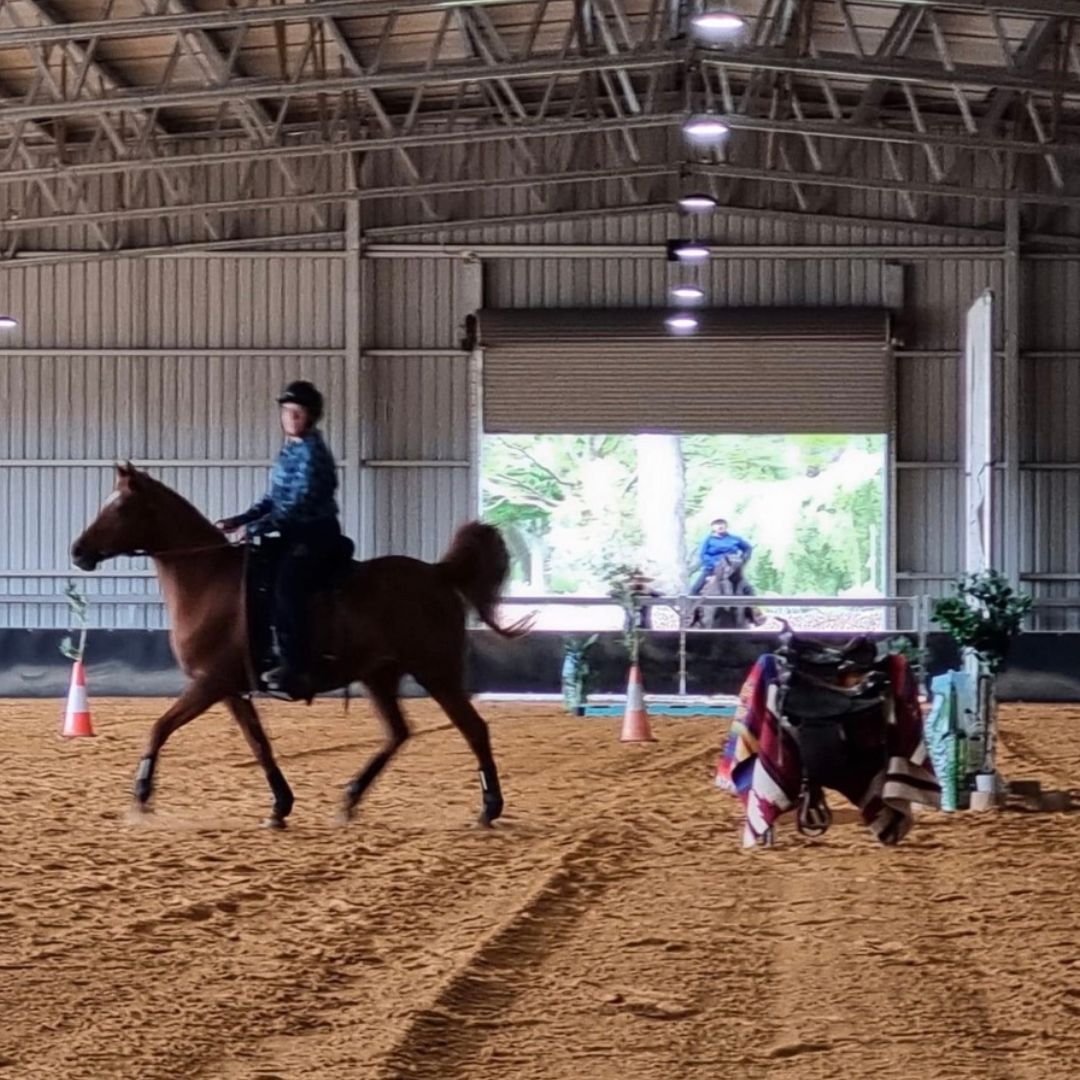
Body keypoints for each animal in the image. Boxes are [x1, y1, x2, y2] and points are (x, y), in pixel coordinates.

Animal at [70, 462, 527, 825]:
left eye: (120, 507)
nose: (78, 551)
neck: (208, 580)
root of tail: (439, 572)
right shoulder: (230, 689)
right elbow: (258, 743)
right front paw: (280, 805)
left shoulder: (209, 683)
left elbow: (160, 727)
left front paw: (141, 795)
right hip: (379, 676)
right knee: (398, 732)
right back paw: (350, 798)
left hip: (437, 671)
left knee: (473, 728)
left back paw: (489, 807)